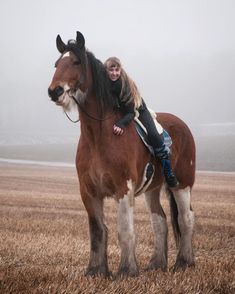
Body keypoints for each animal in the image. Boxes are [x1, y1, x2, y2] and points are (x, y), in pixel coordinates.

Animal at [47, 32, 196, 278]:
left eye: (76, 62)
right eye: (57, 64)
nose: (55, 91)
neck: (99, 135)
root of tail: (183, 125)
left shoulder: (123, 189)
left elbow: (124, 230)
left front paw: (127, 271)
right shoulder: (88, 192)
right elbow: (97, 231)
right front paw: (96, 271)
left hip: (182, 185)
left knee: (185, 219)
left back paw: (184, 262)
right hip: (152, 189)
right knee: (160, 221)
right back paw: (157, 263)